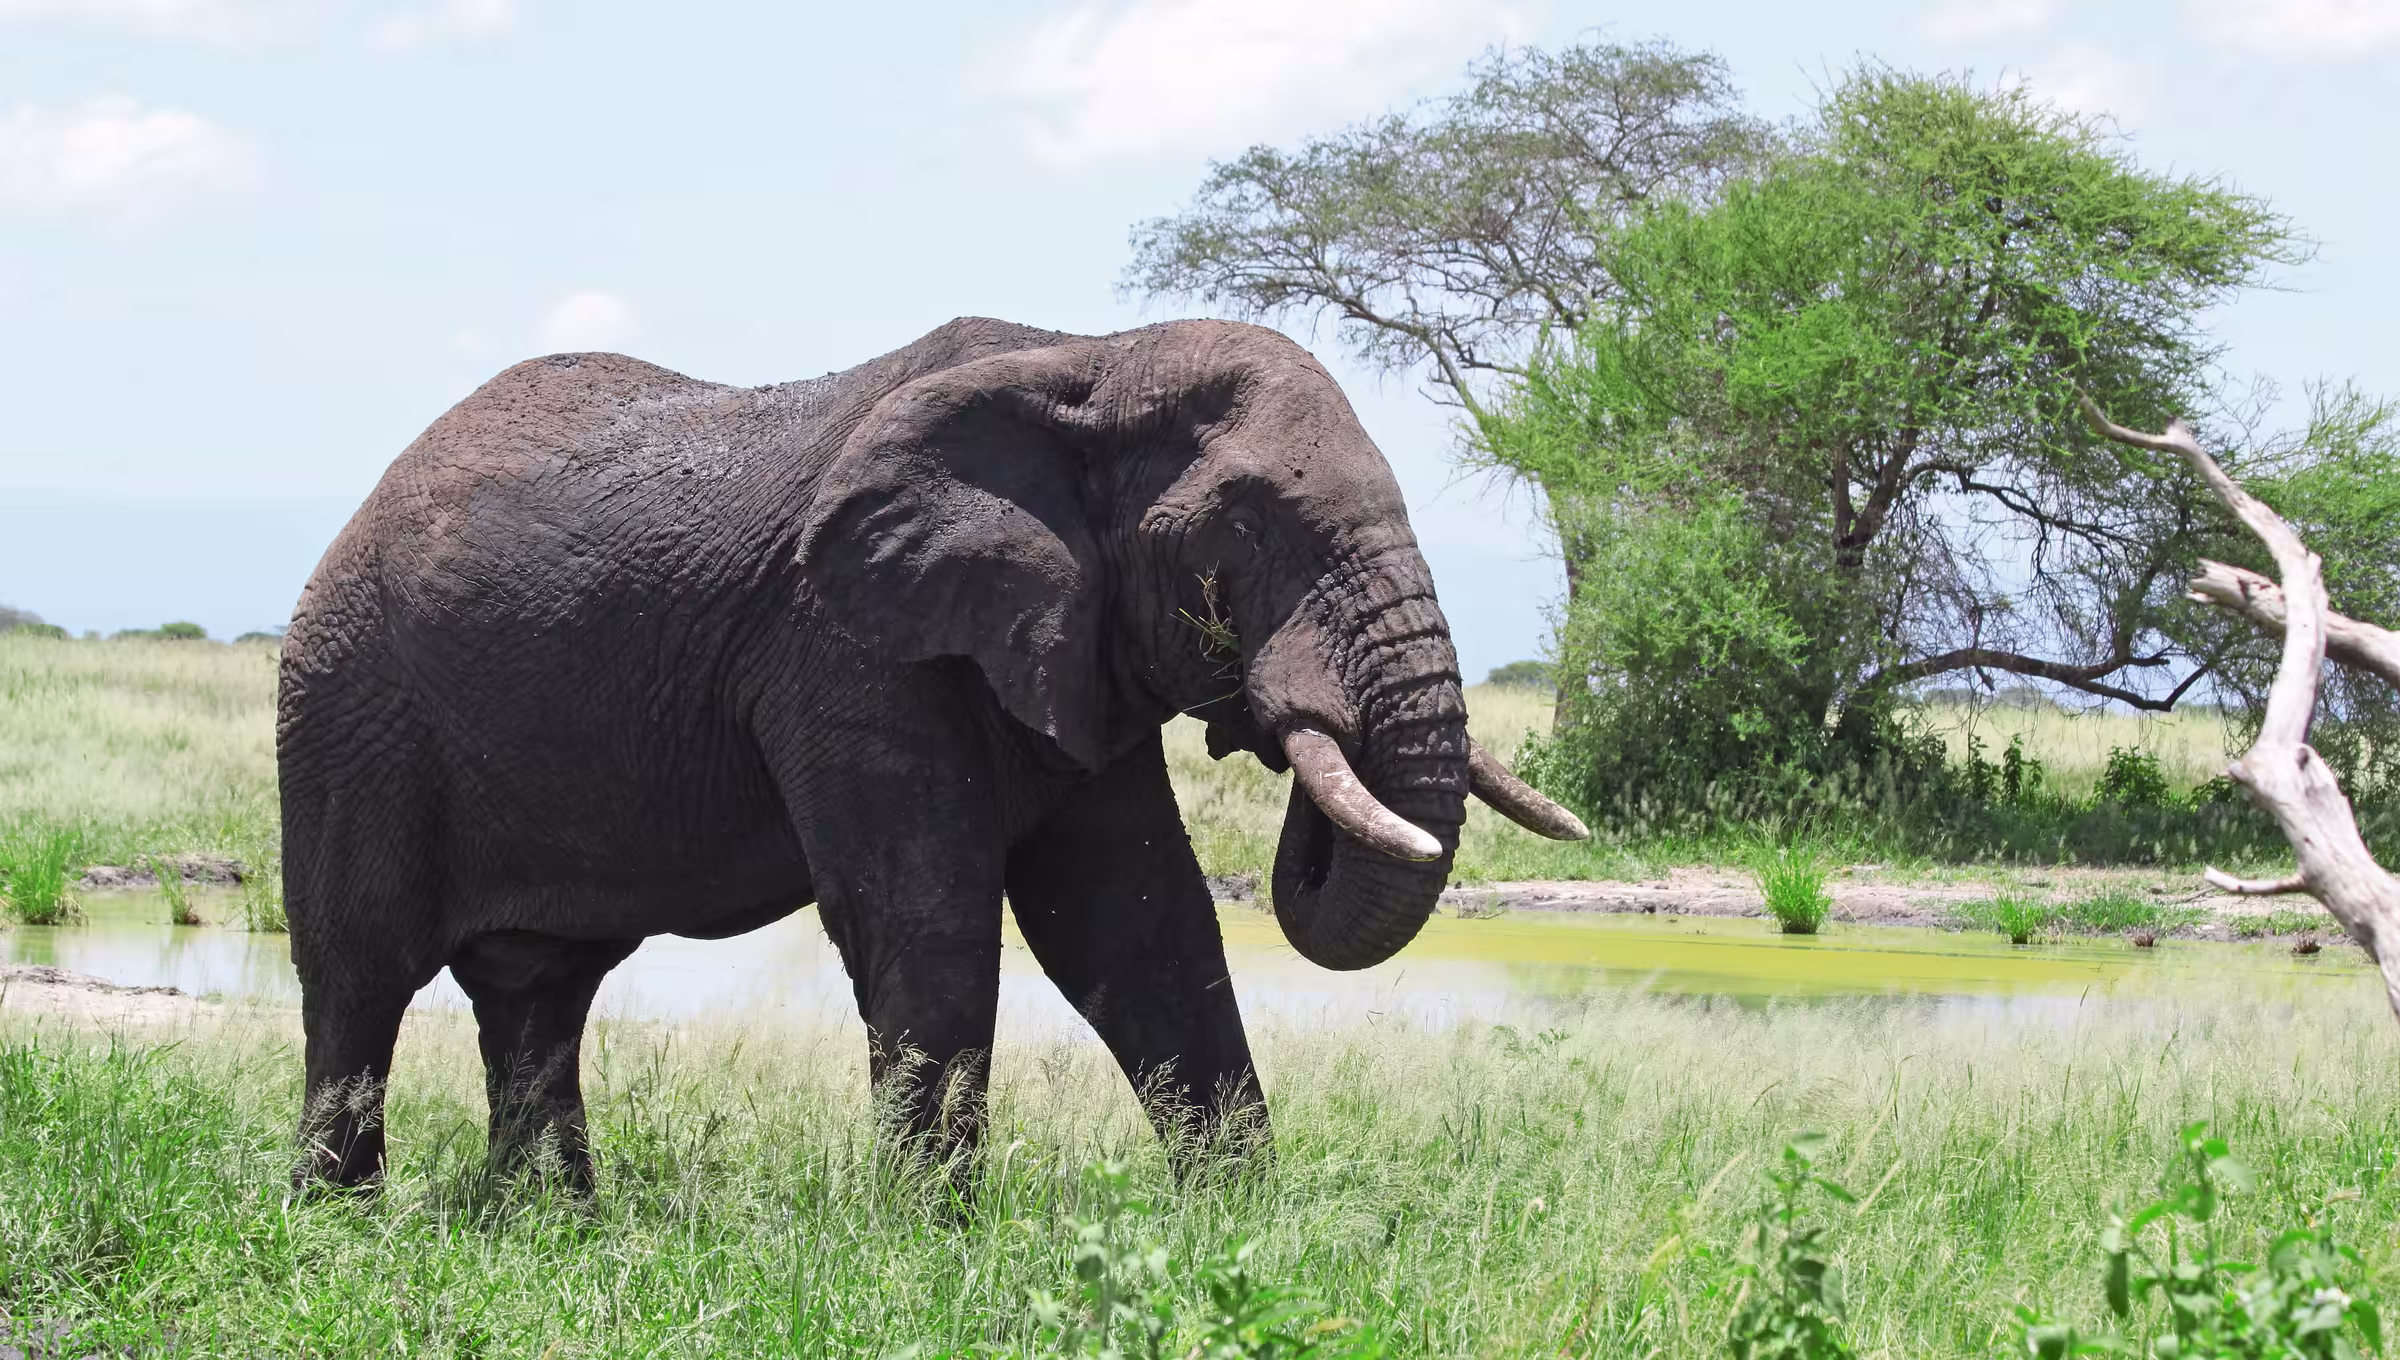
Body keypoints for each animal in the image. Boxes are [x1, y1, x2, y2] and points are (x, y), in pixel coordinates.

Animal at [278, 316, 1588, 1190]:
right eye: (1250, 530)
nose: (1268, 714)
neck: (1090, 356)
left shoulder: (1070, 645)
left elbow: (1141, 921)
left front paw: (1245, 1221)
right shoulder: (846, 643)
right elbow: (928, 914)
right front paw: (934, 1238)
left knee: (541, 988)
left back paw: (555, 1222)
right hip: (349, 703)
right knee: (359, 970)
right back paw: (342, 1219)